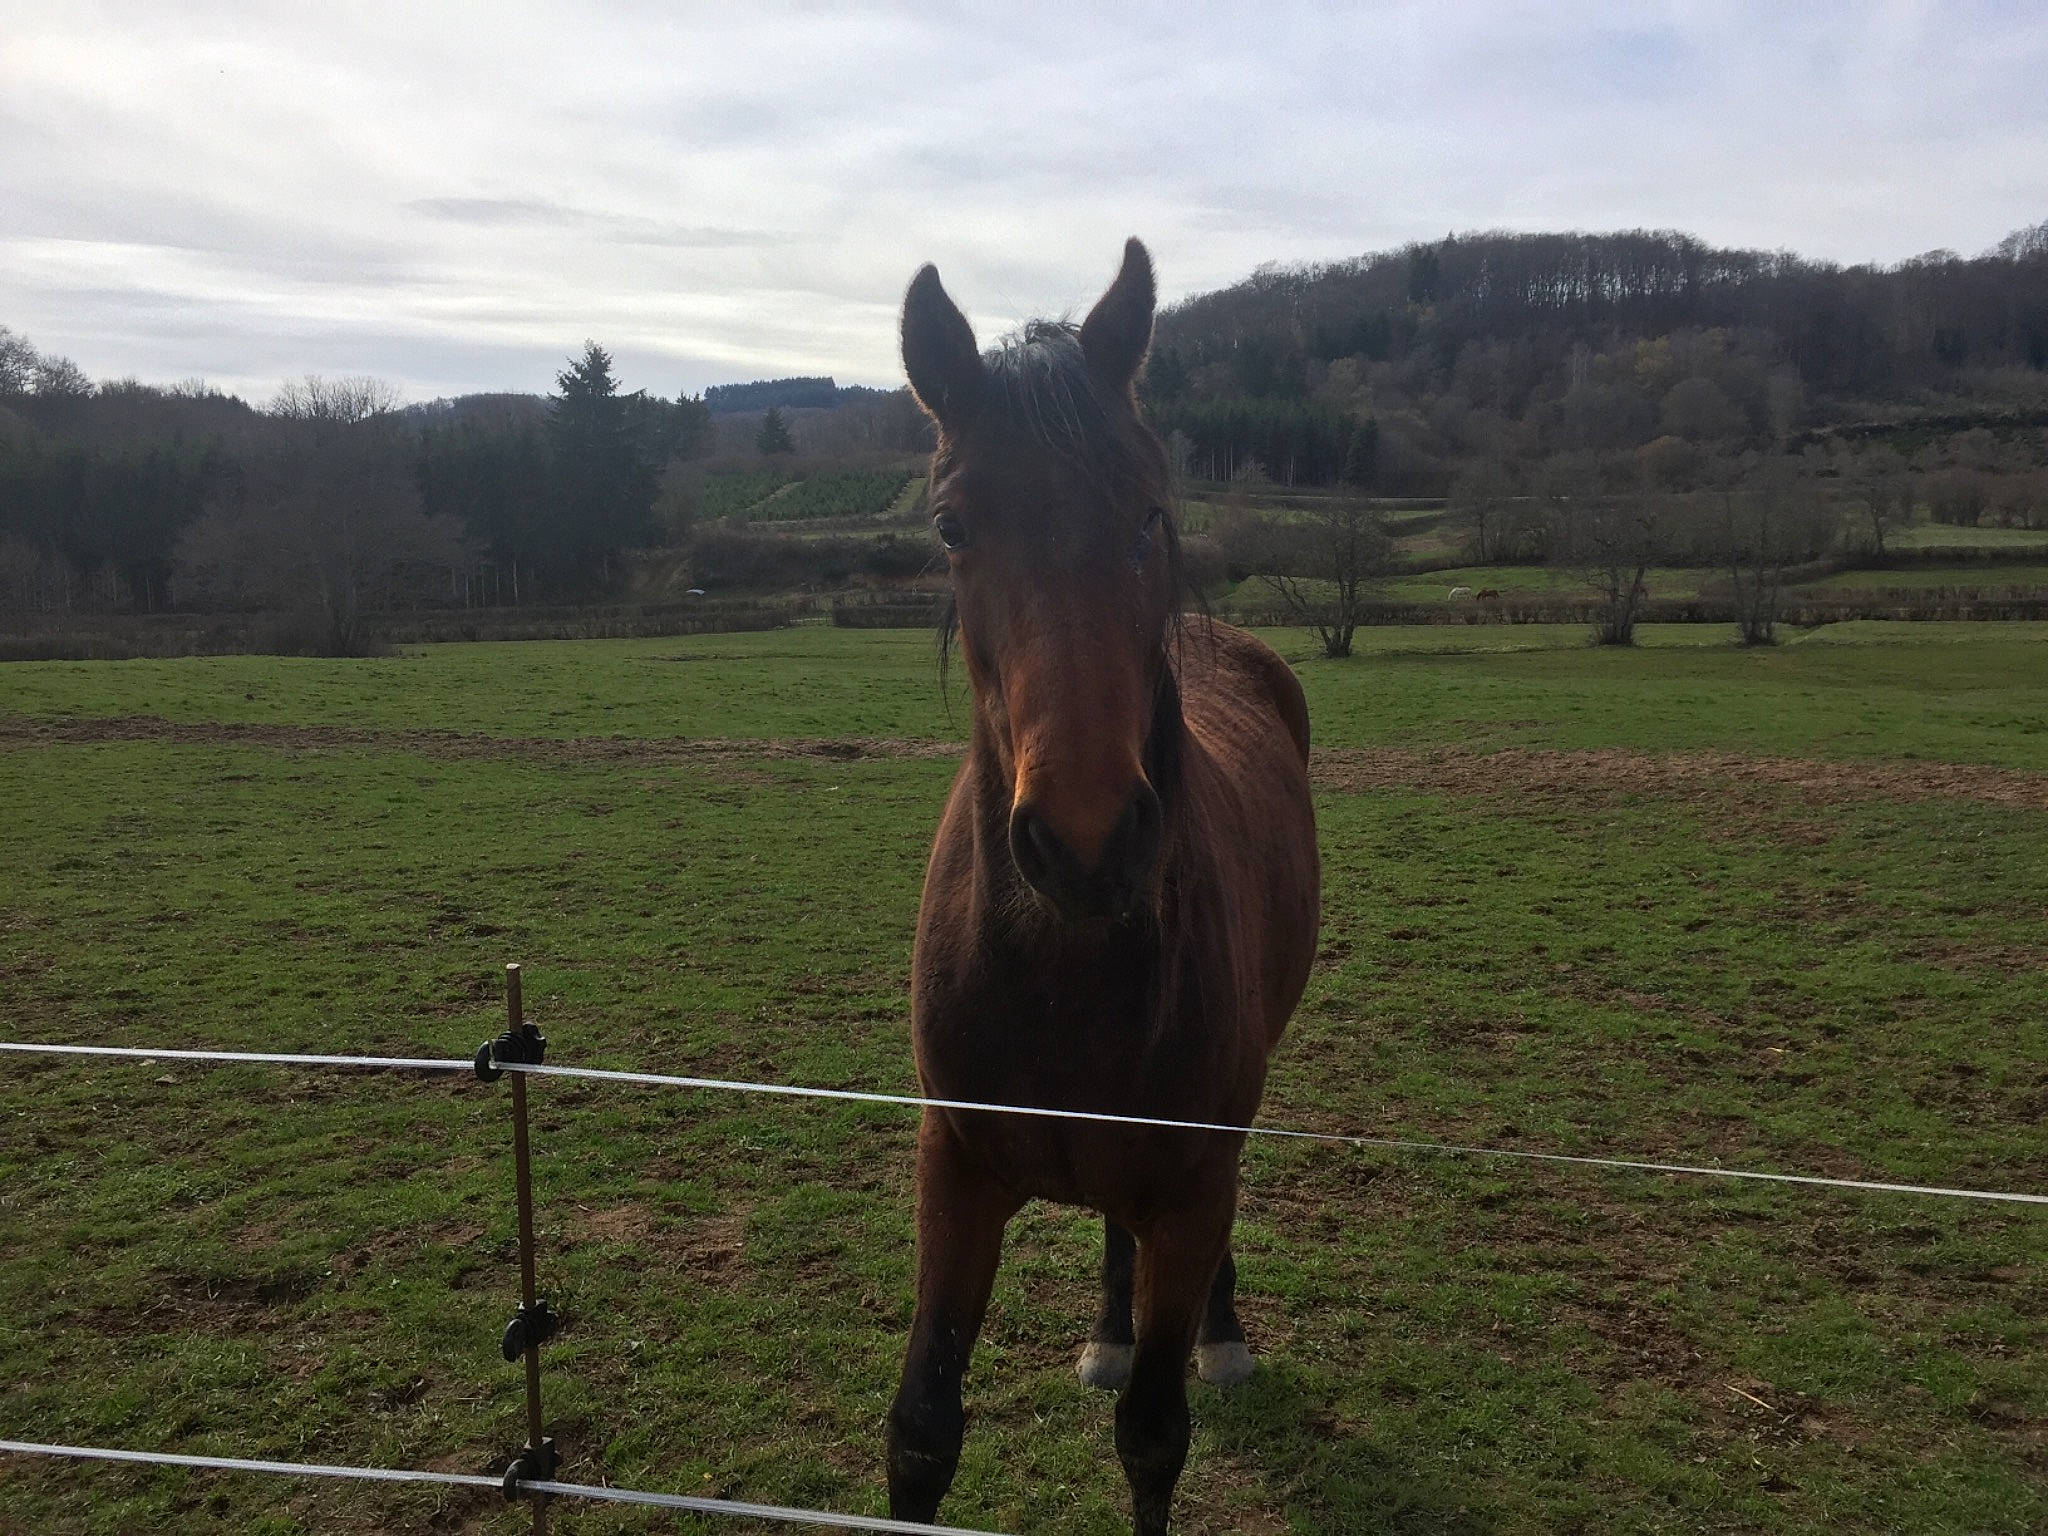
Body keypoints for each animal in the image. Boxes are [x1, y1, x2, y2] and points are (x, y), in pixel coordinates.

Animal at [885, 240, 1322, 1536]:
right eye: (952, 524)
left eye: (1146, 510)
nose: (1083, 842)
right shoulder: (953, 1172)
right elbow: (922, 1427)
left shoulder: (1189, 1184)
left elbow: (1153, 1439)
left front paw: (1190, 1353)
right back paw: (1108, 1330)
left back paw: (1215, 1336)